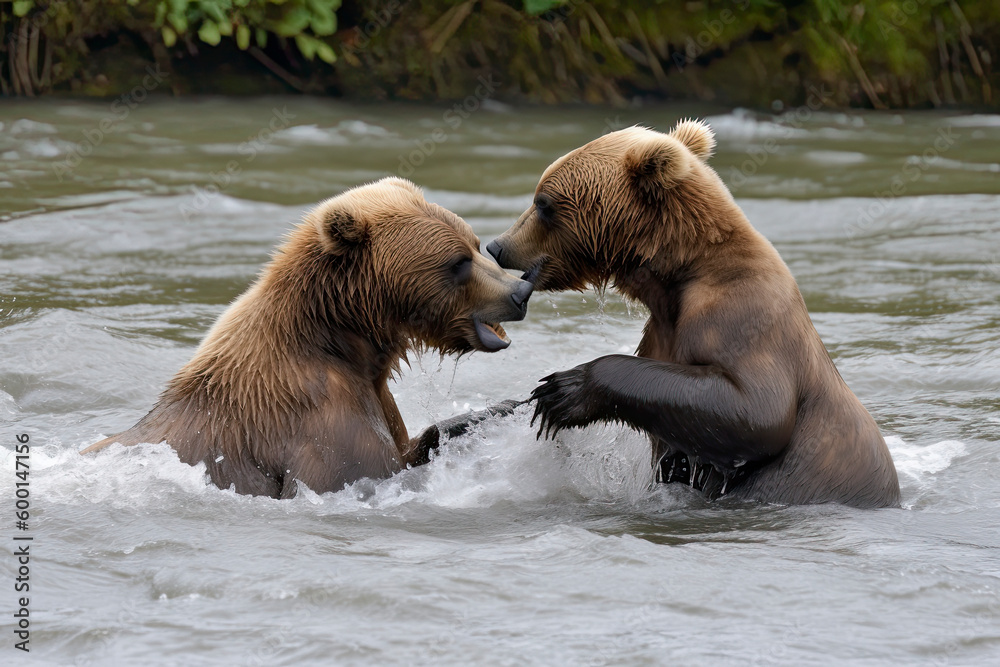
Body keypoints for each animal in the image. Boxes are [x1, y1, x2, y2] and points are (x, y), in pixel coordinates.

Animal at [83, 177, 534, 499]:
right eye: (456, 262)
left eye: (475, 245)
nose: (520, 291)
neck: (344, 343)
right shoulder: (320, 423)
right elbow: (365, 472)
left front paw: (503, 406)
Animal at [486, 121, 901, 508]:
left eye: (543, 202)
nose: (497, 246)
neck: (677, 275)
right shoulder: (661, 330)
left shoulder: (738, 314)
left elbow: (757, 412)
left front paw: (562, 390)